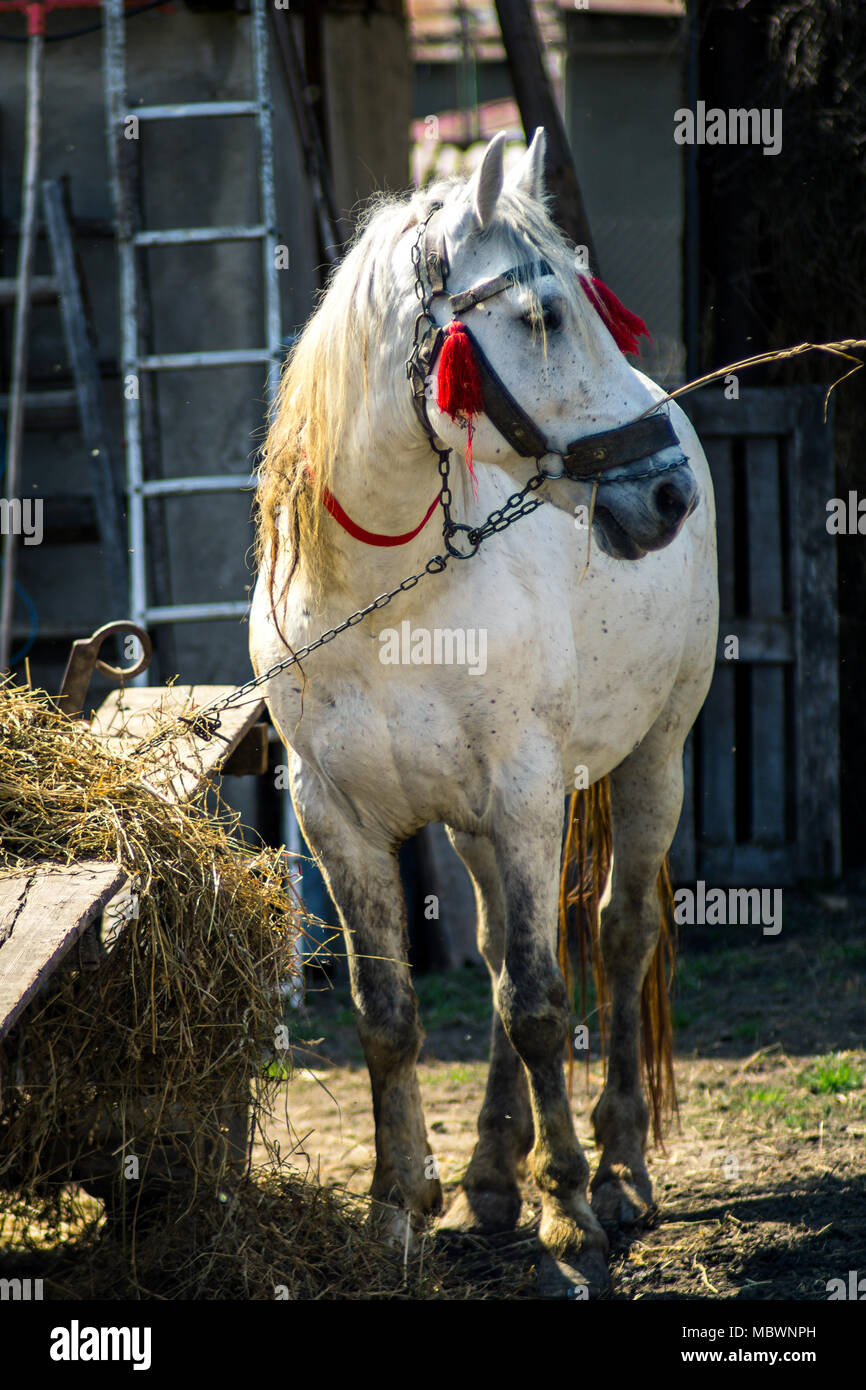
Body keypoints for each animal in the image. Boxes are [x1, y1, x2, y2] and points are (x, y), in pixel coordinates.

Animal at [250, 127, 717, 1289]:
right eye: (544, 315)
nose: (667, 492)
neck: (386, 603)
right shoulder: (337, 819)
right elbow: (391, 1017)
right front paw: (397, 1210)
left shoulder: (525, 797)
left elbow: (545, 1003)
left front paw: (572, 1211)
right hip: (469, 826)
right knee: (504, 952)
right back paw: (493, 1176)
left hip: (654, 758)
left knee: (618, 935)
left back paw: (616, 1169)